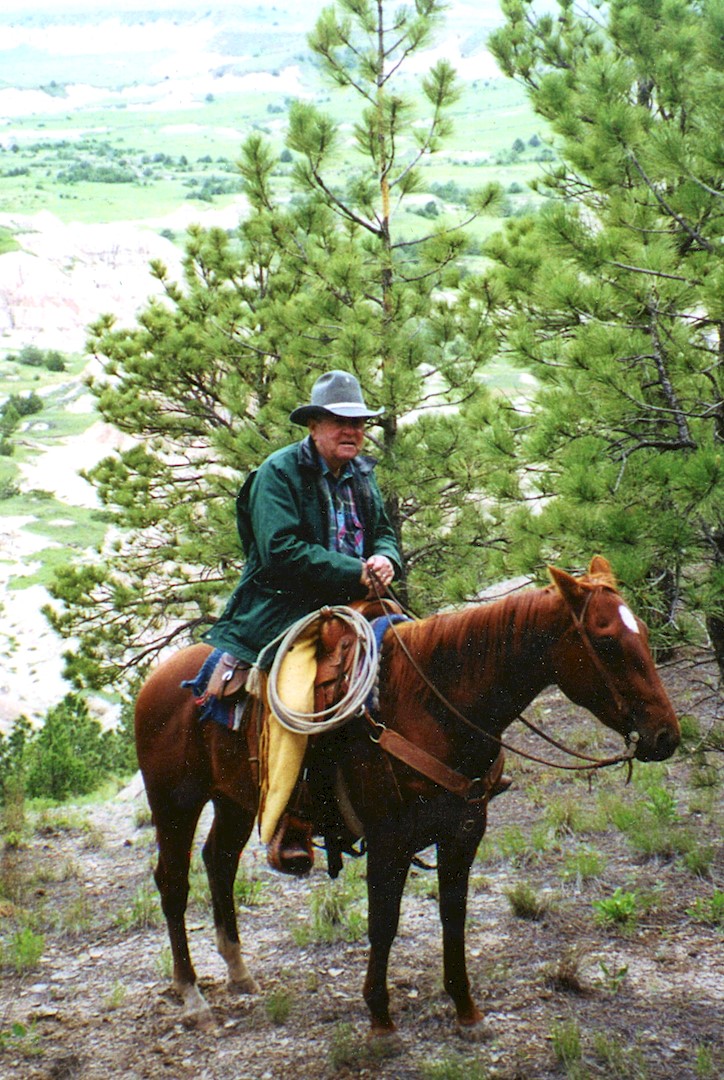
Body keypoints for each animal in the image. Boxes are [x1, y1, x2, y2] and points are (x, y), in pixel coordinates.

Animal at [134, 556, 680, 1036]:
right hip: (176, 804)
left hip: (234, 800)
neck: (432, 703)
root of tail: (157, 680)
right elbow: (384, 923)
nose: (665, 737)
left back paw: (239, 973)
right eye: (606, 642)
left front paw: (466, 1011)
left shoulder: (464, 832)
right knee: (174, 883)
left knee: (219, 862)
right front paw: (380, 1019)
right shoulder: (388, 841)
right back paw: (193, 997)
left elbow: (453, 917)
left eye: (642, 631)